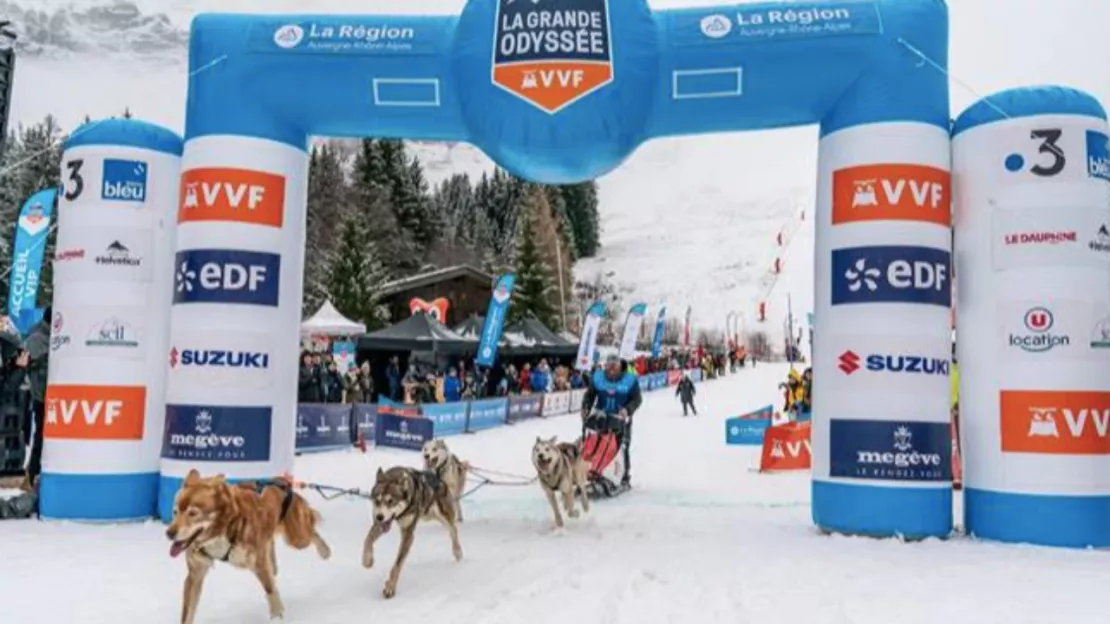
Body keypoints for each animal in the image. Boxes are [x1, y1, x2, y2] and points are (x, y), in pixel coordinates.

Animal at [162, 468, 330, 617]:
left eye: (193, 513)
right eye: (175, 512)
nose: (169, 533)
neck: (222, 530)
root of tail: (281, 481)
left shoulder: (259, 564)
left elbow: (270, 590)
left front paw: (277, 615)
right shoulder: (195, 574)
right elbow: (187, 613)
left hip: (297, 538)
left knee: (312, 530)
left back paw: (325, 551)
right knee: (271, 547)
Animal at [361, 466, 461, 599]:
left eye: (390, 501)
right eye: (377, 501)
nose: (380, 517)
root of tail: (437, 477)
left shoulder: (408, 533)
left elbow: (397, 564)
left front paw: (390, 587)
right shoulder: (379, 524)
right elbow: (367, 540)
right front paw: (367, 560)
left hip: (443, 516)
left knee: (453, 530)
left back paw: (457, 551)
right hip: (427, 515)